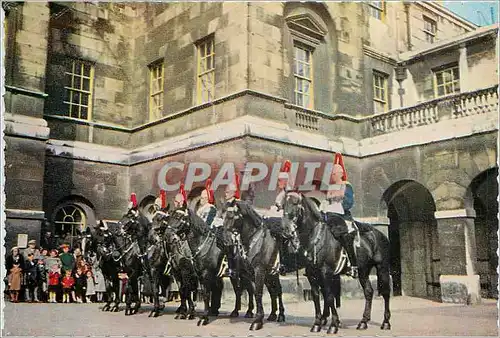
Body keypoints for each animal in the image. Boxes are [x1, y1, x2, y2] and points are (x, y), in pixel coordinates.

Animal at [225, 198, 288, 330]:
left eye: (233, 216)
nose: (226, 239)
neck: (255, 241)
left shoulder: (259, 271)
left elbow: (258, 293)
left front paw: (257, 321)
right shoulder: (250, 274)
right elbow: (253, 292)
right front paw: (257, 317)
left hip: (273, 274)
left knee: (278, 291)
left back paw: (281, 315)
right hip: (269, 275)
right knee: (273, 292)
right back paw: (273, 314)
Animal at [282, 191, 390, 334]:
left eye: (295, 204)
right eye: (283, 205)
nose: (286, 230)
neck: (316, 238)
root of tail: (379, 235)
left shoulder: (326, 273)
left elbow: (329, 297)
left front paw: (333, 325)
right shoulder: (312, 275)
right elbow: (316, 297)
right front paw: (317, 324)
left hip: (382, 268)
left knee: (386, 292)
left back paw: (386, 322)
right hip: (363, 271)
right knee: (368, 292)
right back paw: (363, 322)